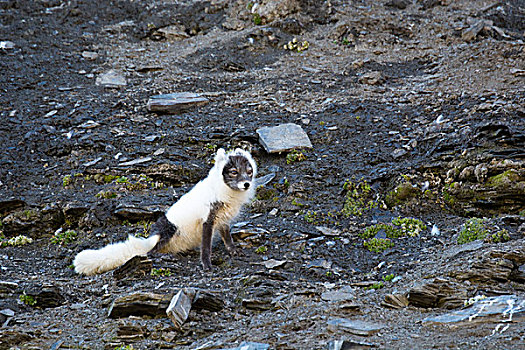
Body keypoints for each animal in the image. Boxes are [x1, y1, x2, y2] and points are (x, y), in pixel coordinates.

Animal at [72, 146, 256, 274]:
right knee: (150, 251)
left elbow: (227, 238)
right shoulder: (207, 219)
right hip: (169, 231)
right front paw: (206, 265)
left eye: (249, 171)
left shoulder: (223, 220)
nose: (247, 184)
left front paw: (234, 251)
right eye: (234, 172)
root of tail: (151, 238)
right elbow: (206, 247)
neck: (226, 193)